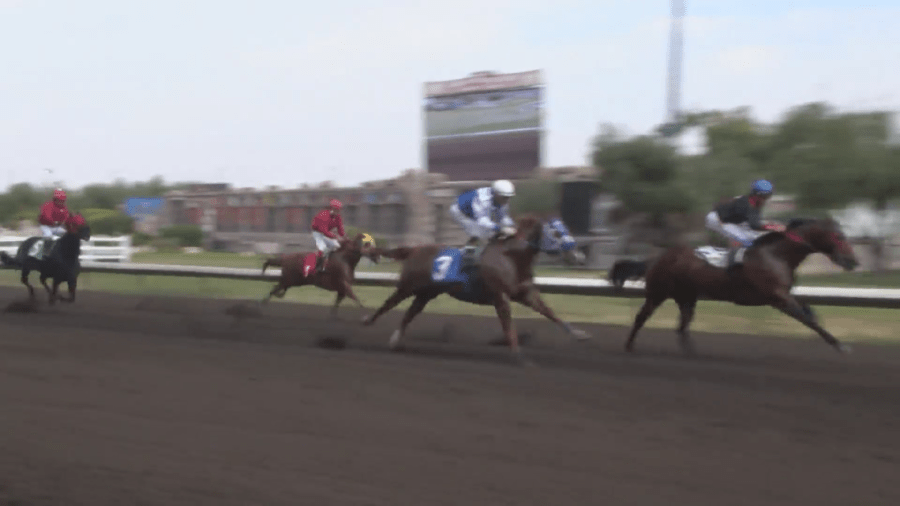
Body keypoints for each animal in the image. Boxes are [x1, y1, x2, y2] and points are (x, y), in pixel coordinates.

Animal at [362, 213, 596, 364]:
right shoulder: (500, 296)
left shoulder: (525, 293)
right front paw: (519, 355)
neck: (511, 257)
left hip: (426, 293)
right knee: (389, 303)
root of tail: (414, 249)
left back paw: (395, 341)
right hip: (409, 286)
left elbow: (550, 313)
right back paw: (367, 321)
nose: (579, 256)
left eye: (566, 228)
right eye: (556, 232)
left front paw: (580, 334)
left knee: (410, 313)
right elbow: (508, 325)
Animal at [608, 217, 860, 356]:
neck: (776, 255)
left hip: (687, 297)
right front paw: (840, 346)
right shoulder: (778, 298)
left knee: (681, 327)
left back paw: (692, 353)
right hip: (658, 293)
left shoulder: (785, 294)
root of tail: (657, 257)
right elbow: (809, 320)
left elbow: (810, 313)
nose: (853, 261)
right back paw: (629, 346)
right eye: (838, 236)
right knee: (641, 317)